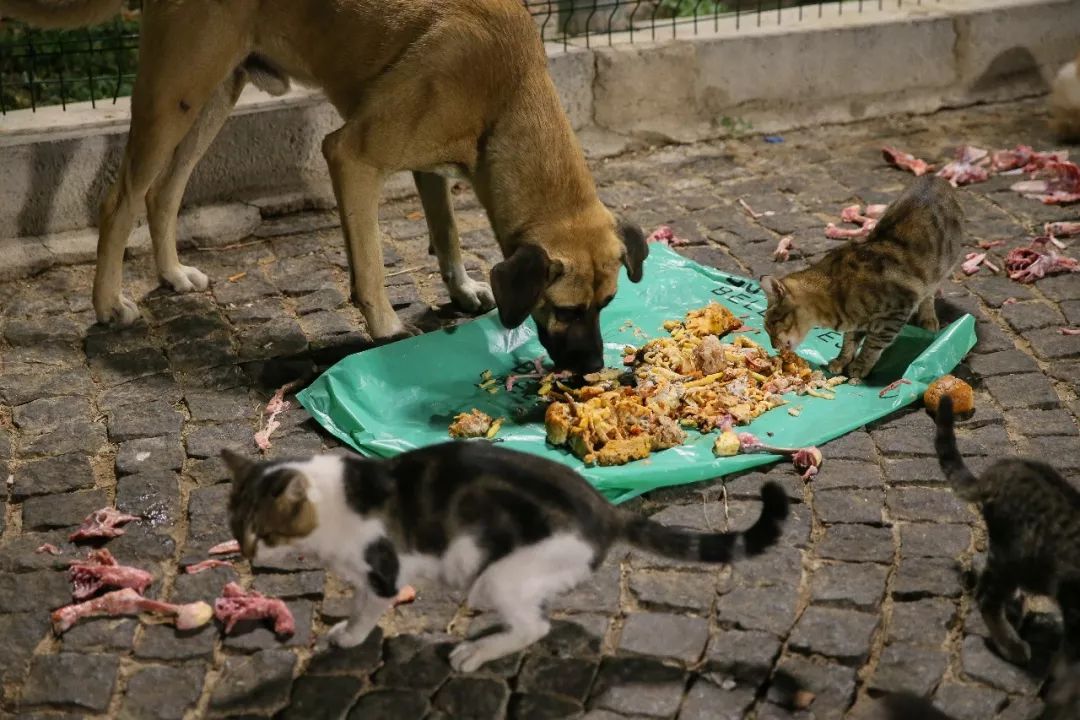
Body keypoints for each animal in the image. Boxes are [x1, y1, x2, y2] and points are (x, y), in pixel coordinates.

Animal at [4, 0, 643, 371]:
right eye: (565, 310)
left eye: (608, 305)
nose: (593, 369)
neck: (507, 90)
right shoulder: (351, 155)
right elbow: (371, 263)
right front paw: (385, 327)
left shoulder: (429, 165)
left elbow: (447, 234)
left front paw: (462, 289)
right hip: (173, 97)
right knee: (120, 200)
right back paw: (109, 304)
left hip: (214, 96)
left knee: (163, 193)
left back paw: (172, 275)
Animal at [223, 442, 790, 673]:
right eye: (234, 527)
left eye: (263, 531)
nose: (247, 555)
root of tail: (606, 508)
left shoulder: (383, 571)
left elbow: (366, 609)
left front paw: (348, 635)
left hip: (496, 577)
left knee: (533, 628)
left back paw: (474, 653)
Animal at [760, 174, 963, 379]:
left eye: (772, 324)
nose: (772, 346)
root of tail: (934, 177)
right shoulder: (856, 321)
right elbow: (849, 342)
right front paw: (841, 361)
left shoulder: (895, 314)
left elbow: (872, 345)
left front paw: (860, 366)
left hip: (943, 267)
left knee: (929, 293)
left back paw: (928, 318)